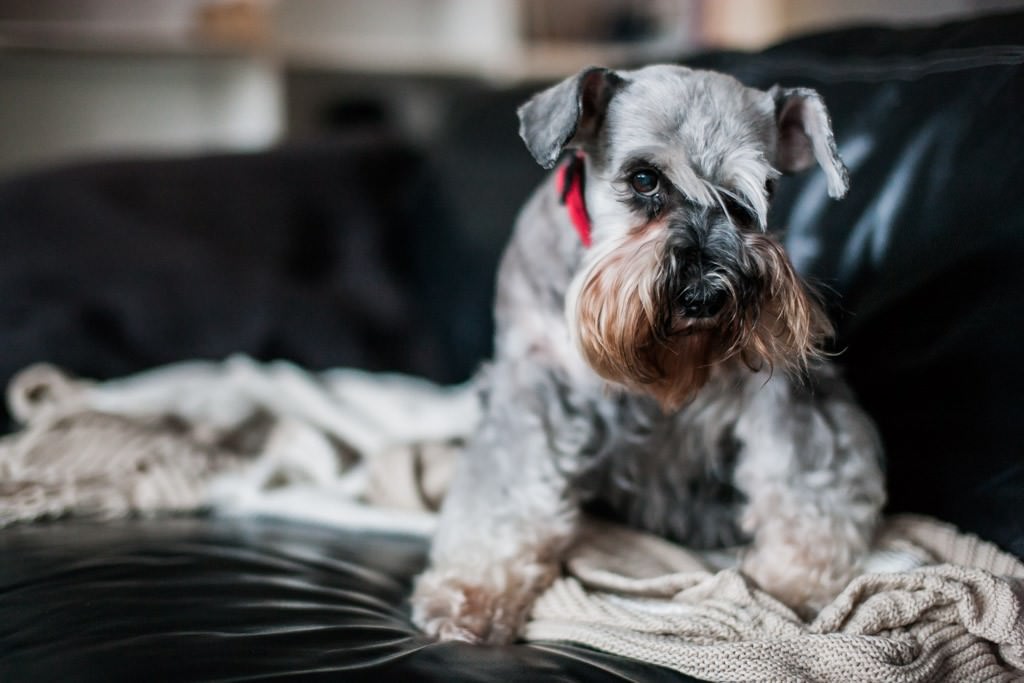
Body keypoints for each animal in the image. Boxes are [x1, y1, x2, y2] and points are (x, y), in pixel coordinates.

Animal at [407, 65, 888, 647]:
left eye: (762, 190)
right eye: (643, 179)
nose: (705, 295)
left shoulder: (781, 394)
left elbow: (803, 483)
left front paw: (793, 582)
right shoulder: (533, 389)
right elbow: (506, 492)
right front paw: (470, 595)